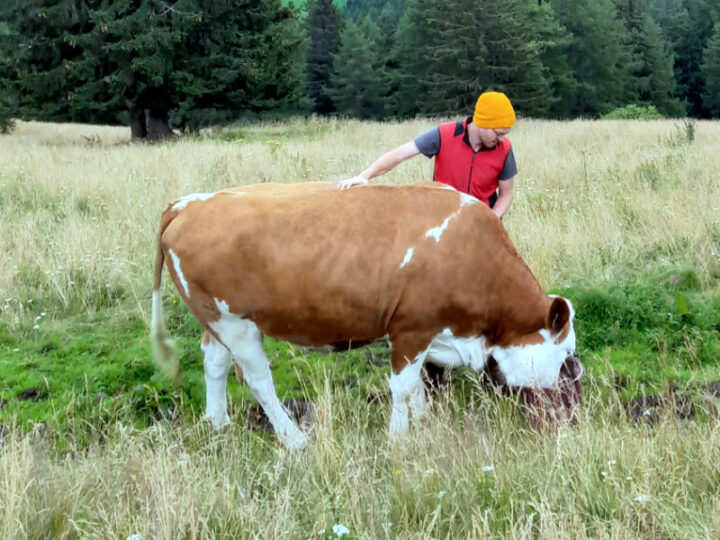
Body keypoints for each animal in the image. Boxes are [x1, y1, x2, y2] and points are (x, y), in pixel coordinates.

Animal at [150, 182, 580, 449]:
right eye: (566, 354)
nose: (574, 418)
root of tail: (192, 203)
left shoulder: (428, 334)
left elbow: (417, 385)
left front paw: (422, 423)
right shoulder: (412, 329)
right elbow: (403, 386)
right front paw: (398, 436)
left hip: (215, 319)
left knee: (214, 363)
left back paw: (218, 423)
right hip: (237, 325)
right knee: (258, 381)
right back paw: (294, 439)